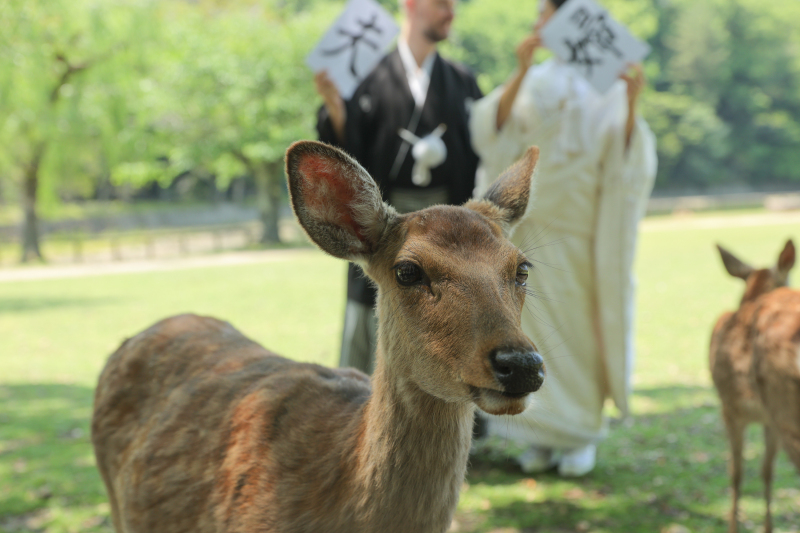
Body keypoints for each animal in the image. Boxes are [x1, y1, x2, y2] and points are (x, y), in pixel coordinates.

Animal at [709, 239, 800, 533]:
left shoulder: (730, 408)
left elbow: (736, 472)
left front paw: (733, 527)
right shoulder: (767, 420)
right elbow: (766, 471)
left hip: (787, 413)